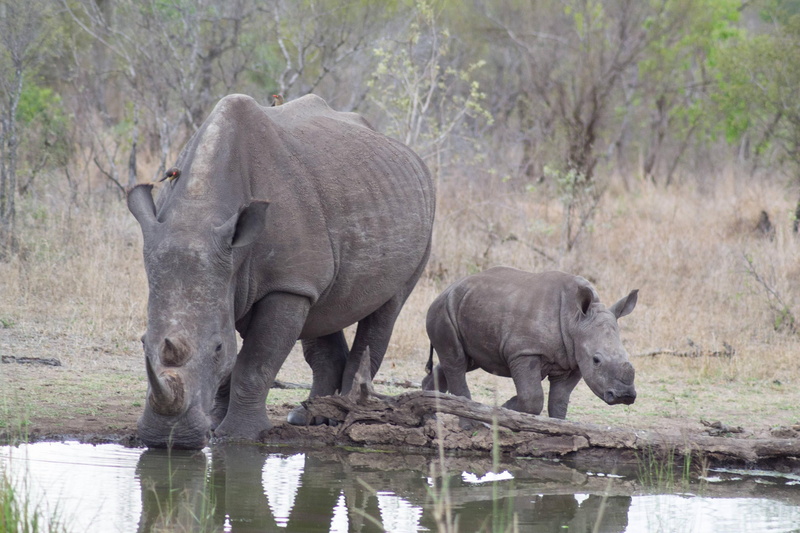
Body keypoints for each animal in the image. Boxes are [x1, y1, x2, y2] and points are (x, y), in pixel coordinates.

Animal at [128, 94, 435, 449]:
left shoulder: (286, 284)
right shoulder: (248, 276)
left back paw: (346, 416)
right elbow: (235, 363)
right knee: (323, 312)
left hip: (419, 222)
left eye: (217, 348)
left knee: (386, 311)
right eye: (142, 343)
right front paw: (214, 425)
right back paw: (308, 417)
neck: (199, 211)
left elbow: (255, 362)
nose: (170, 439)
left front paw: (239, 436)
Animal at [422, 267, 638, 419]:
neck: (575, 320)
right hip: (442, 310)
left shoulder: (573, 360)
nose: (625, 395)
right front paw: (505, 409)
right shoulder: (525, 351)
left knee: (466, 360)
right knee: (456, 360)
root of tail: (445, 290)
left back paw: (431, 411)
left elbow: (559, 402)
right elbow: (532, 399)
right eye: (596, 360)